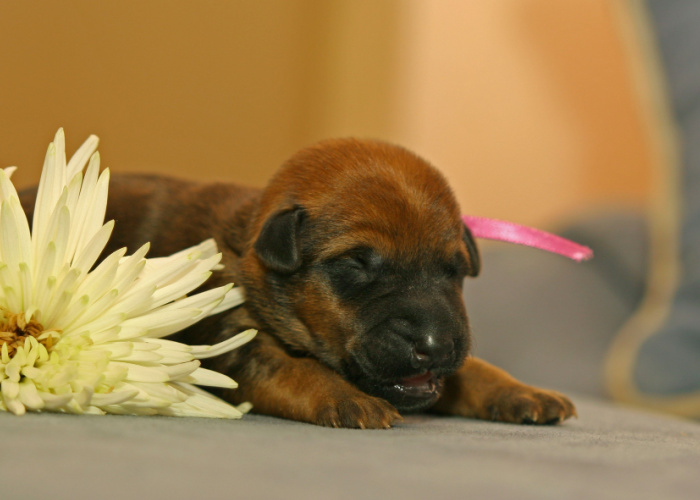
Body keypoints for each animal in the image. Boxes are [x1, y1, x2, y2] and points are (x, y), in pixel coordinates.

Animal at [21, 139, 576, 428]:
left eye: (454, 270)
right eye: (356, 264)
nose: (435, 346)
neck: (248, 246)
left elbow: (471, 370)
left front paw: (521, 391)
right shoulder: (237, 342)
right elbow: (293, 369)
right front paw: (347, 399)